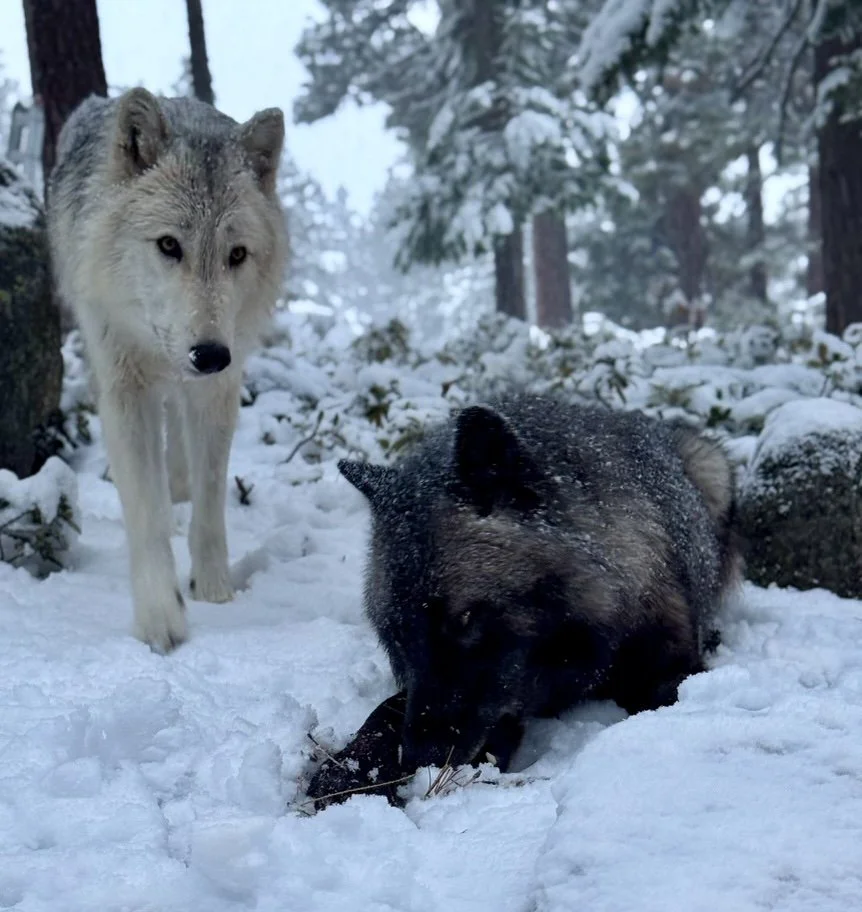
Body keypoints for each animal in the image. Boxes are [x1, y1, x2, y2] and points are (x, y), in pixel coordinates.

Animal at [47, 88, 289, 652]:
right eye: (168, 245)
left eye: (237, 254)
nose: (210, 354)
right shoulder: (124, 388)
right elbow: (145, 514)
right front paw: (161, 619)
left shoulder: (219, 388)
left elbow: (211, 499)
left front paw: (215, 591)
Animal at [338, 393, 741, 773]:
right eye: (398, 634)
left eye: (464, 619)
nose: (422, 758)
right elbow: (384, 713)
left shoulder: (672, 663)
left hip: (712, 467)